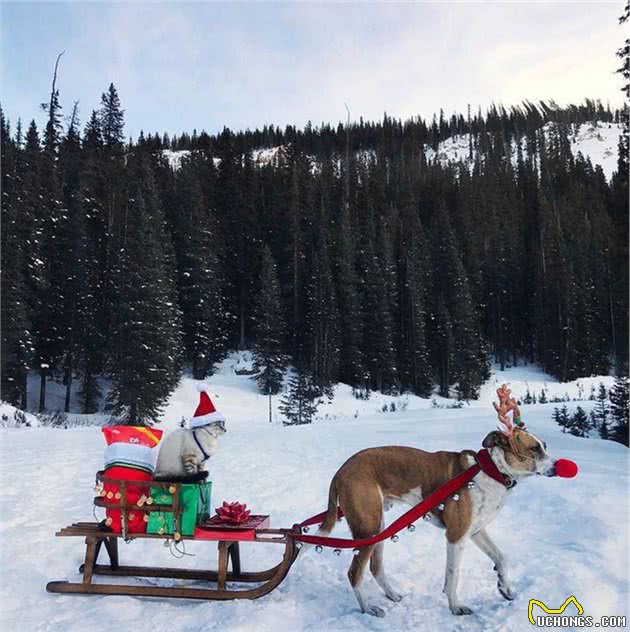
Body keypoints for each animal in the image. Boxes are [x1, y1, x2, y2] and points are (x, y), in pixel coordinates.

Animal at [318, 388, 560, 616]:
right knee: (354, 573)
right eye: (534, 448)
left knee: (375, 568)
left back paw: (392, 595)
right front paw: (455, 607)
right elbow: (453, 576)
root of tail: (342, 471)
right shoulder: (456, 536)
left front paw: (504, 587)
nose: (557, 466)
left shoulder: (476, 531)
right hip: (367, 528)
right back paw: (367, 608)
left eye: (545, 445)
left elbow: (501, 558)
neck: (490, 471)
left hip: (378, 527)